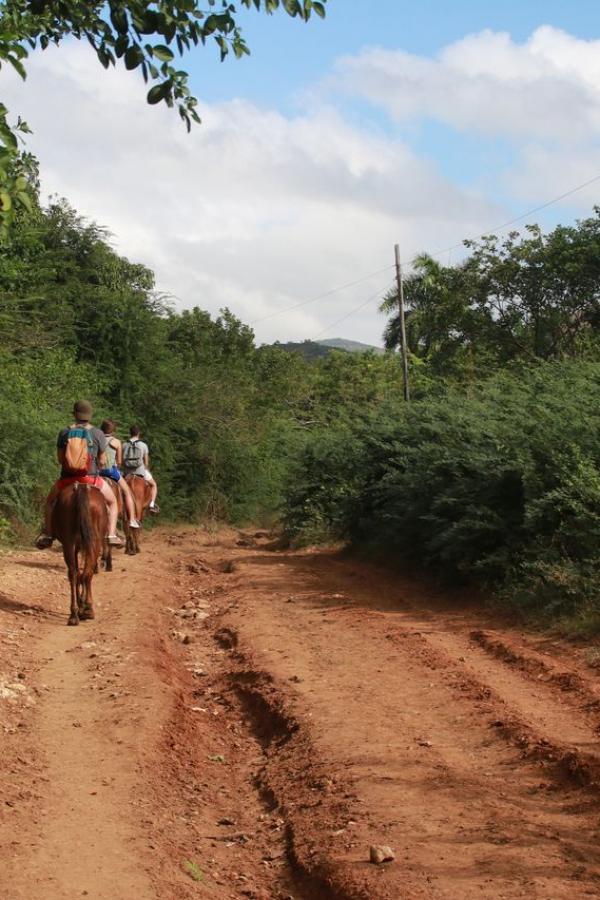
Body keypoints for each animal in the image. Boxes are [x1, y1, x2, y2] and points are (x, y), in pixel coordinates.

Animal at [51, 486, 108, 624]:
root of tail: (81, 489)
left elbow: (77, 573)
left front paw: (81, 604)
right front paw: (84, 605)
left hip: (69, 543)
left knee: (74, 574)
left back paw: (74, 614)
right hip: (93, 542)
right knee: (86, 573)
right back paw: (87, 609)